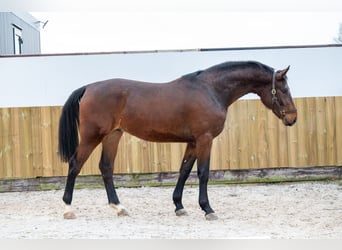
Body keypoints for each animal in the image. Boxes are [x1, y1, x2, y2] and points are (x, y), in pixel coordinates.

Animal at [58, 60, 296, 221]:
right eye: (284, 89)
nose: (293, 118)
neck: (211, 90)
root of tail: (89, 87)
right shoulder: (204, 139)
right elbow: (203, 173)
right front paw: (208, 209)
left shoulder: (192, 142)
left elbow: (184, 170)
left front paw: (179, 206)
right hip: (92, 136)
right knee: (75, 165)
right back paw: (68, 209)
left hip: (112, 135)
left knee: (106, 167)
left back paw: (119, 207)